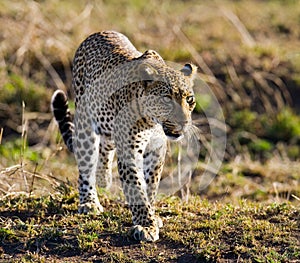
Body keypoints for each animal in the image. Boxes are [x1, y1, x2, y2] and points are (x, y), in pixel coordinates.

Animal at [51, 29, 197, 242]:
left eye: (190, 99)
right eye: (166, 98)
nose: (184, 123)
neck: (152, 122)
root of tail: (98, 33)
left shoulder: (156, 150)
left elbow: (151, 185)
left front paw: (152, 216)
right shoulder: (130, 150)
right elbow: (136, 188)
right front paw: (146, 226)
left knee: (106, 147)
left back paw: (103, 178)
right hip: (85, 124)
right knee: (86, 165)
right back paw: (89, 202)